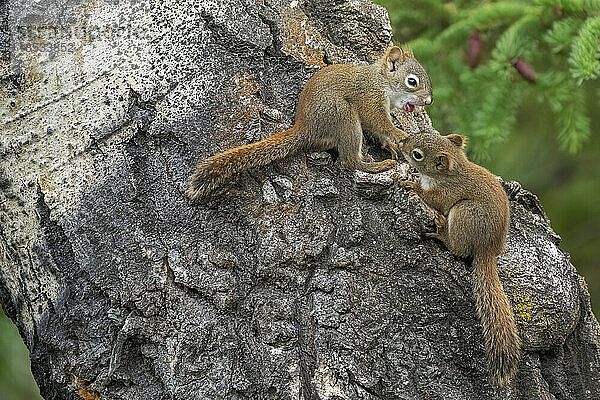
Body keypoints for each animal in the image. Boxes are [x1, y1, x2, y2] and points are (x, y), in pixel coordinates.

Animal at [186, 46, 432, 202]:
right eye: (412, 82)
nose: (429, 101)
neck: (382, 82)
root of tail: (306, 128)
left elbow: (378, 131)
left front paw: (390, 144)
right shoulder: (369, 100)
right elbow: (380, 123)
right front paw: (400, 135)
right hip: (342, 115)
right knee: (349, 162)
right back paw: (377, 166)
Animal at [400, 133, 524, 386]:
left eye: (417, 154)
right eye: (419, 135)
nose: (400, 143)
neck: (451, 171)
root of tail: (488, 249)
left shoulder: (443, 194)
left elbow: (430, 197)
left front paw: (412, 185)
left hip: (464, 213)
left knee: (459, 249)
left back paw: (442, 234)